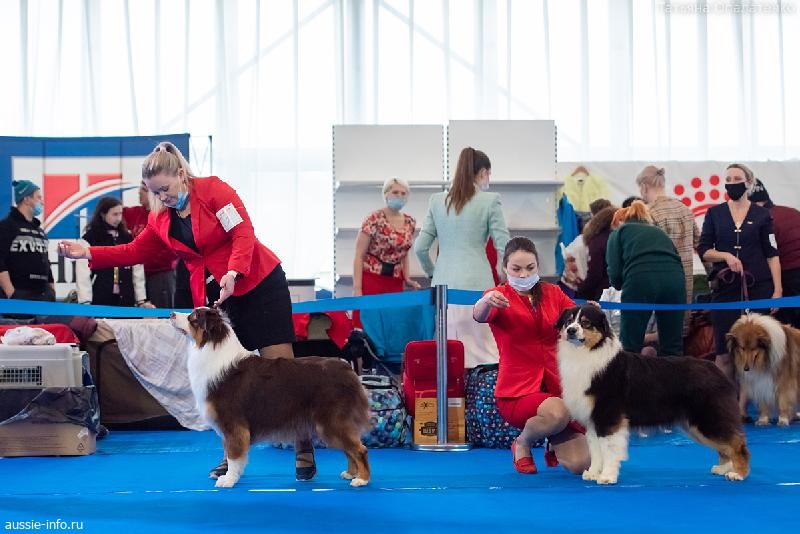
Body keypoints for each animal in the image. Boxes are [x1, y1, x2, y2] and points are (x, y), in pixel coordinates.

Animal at [170, 307, 371, 488]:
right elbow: (233, 453)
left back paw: (361, 479)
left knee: (359, 449)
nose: (171, 314)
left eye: (193, 317)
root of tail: (347, 369)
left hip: (330, 421)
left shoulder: (232, 422)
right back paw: (350, 473)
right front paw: (232, 475)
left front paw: (228, 480)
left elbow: (233, 454)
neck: (211, 346)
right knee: (349, 449)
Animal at [556, 304, 750, 485]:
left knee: (737, 442)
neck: (586, 353)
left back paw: (738, 473)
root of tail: (716, 370)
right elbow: (595, 449)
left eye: (585, 322)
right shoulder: (592, 419)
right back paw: (723, 468)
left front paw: (607, 477)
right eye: (568, 321)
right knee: (725, 446)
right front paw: (593, 473)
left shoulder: (608, 415)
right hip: (696, 424)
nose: (571, 330)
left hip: (708, 417)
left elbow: (609, 449)